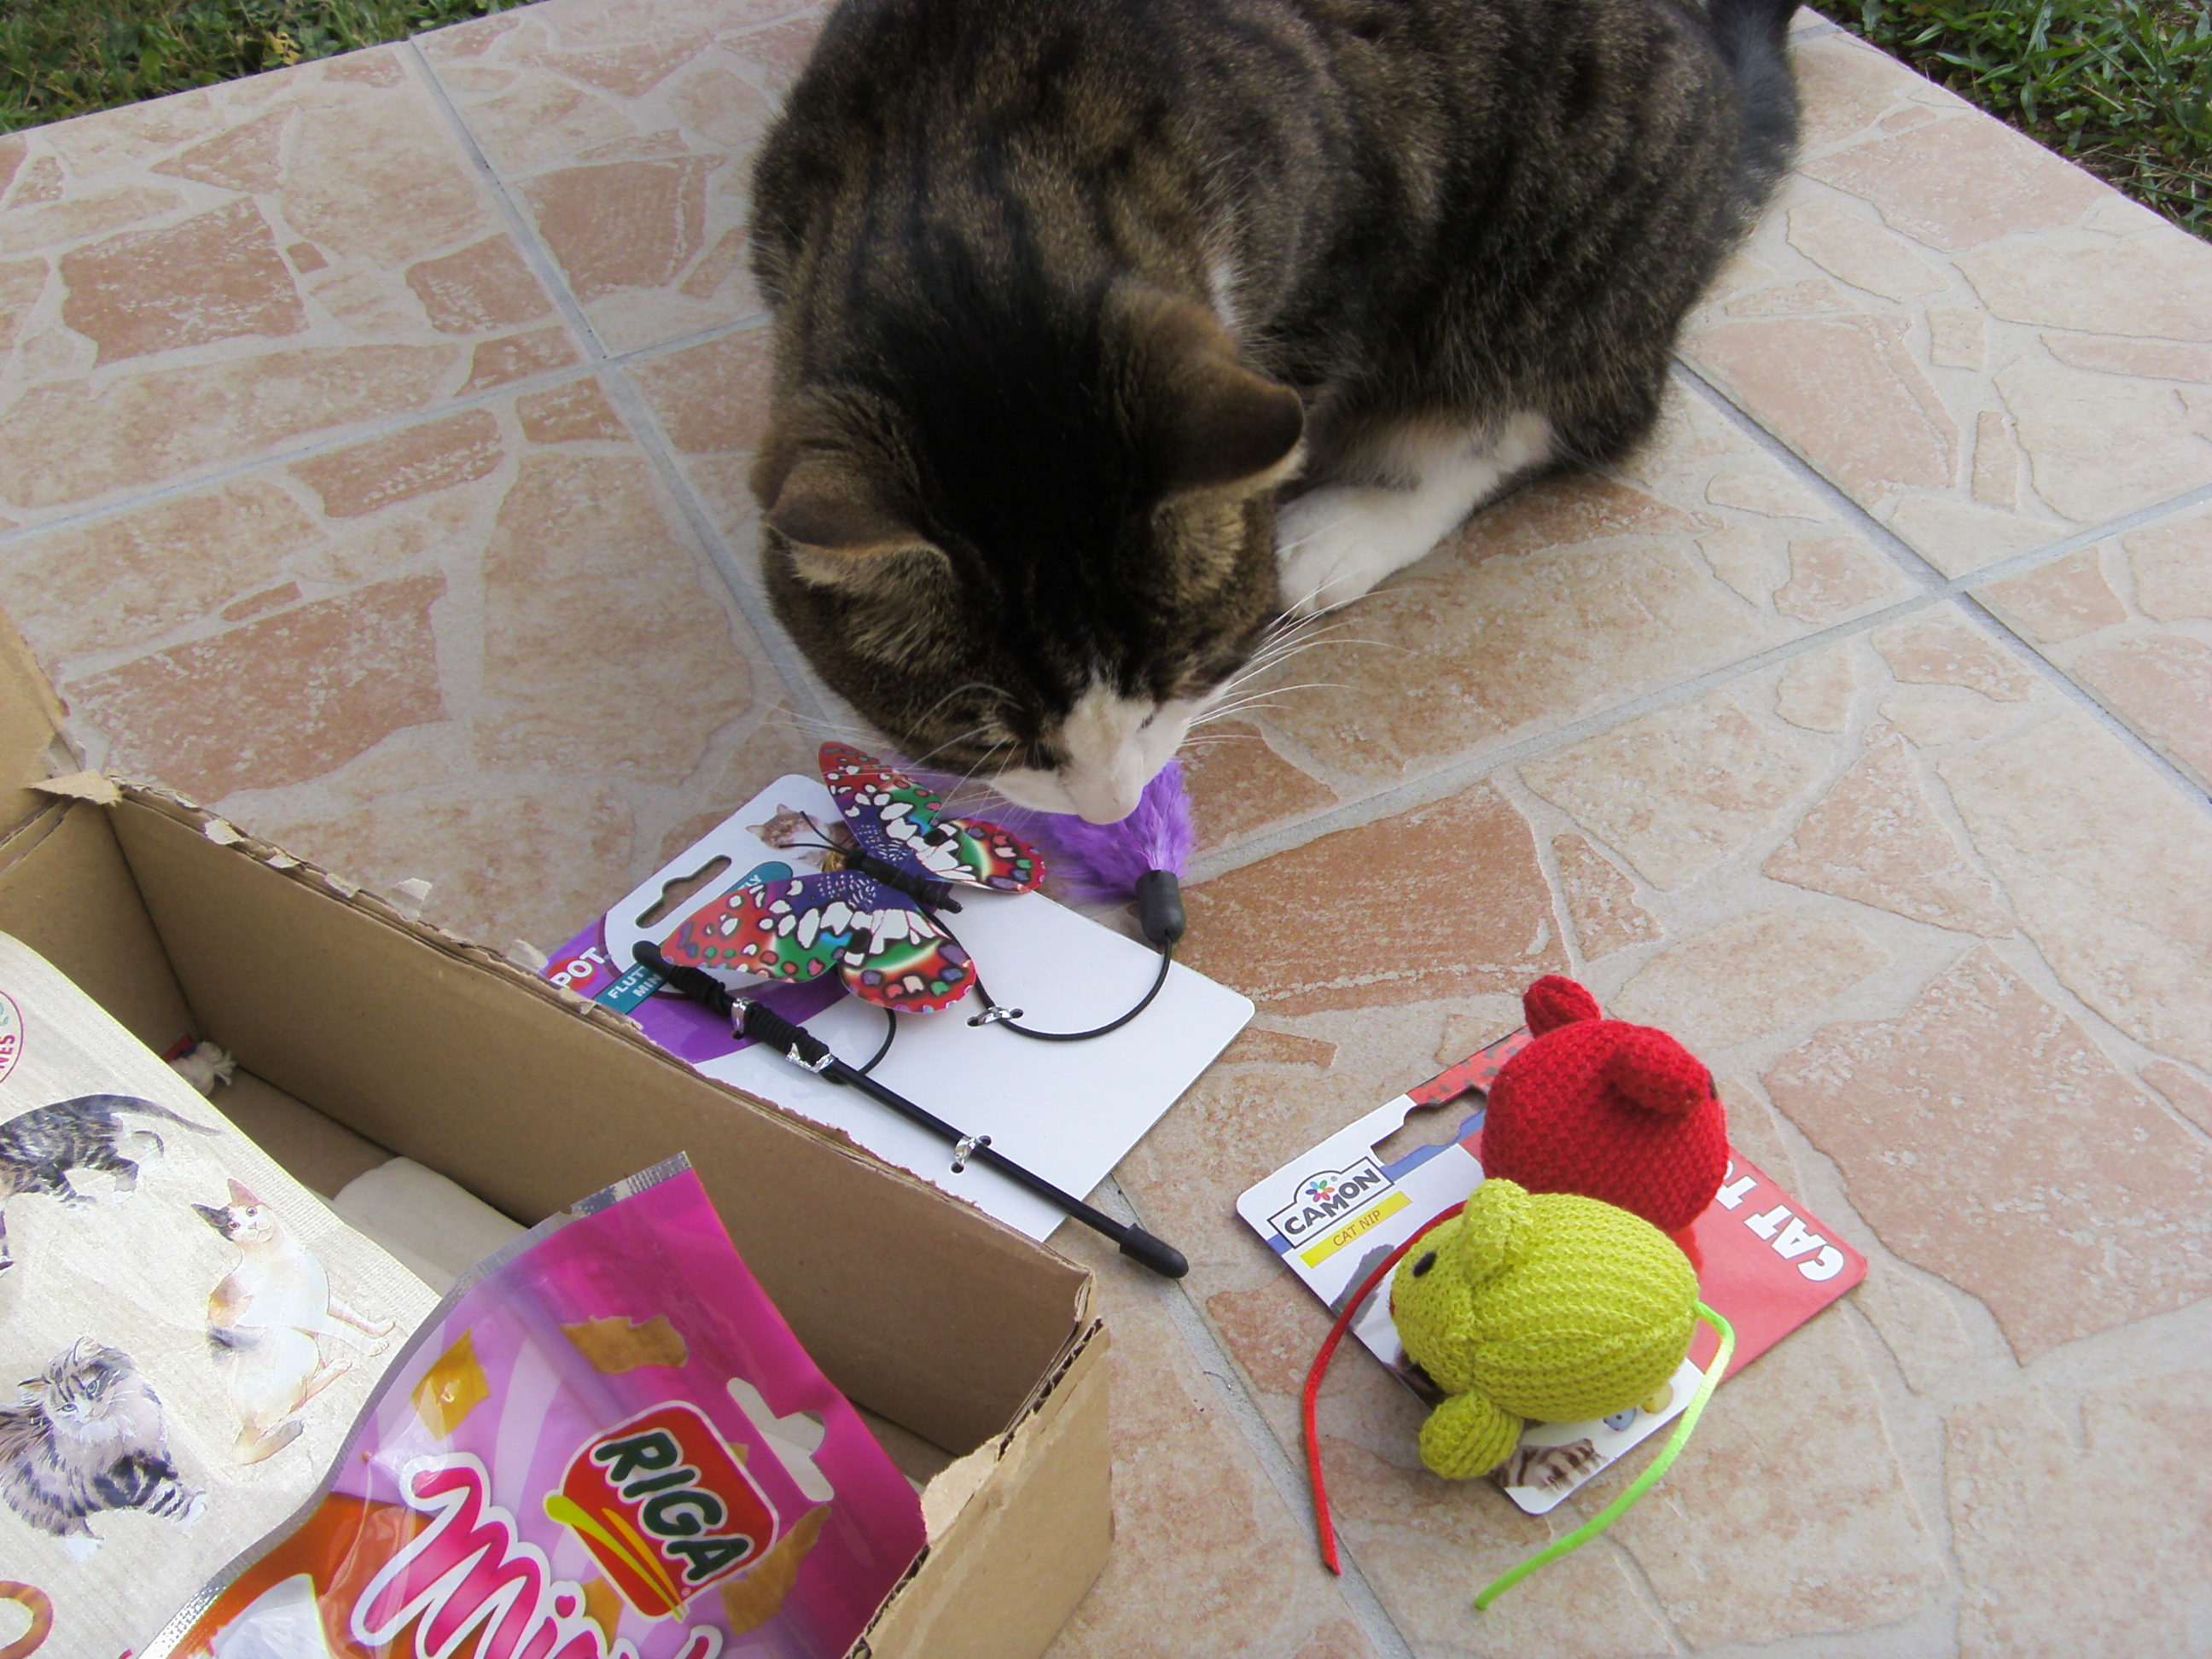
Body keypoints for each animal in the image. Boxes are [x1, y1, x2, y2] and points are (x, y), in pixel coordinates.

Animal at [0, 1094, 217, 1272]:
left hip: (82, 1151)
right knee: (143, 1136)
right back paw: (151, 1159)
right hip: (106, 1136)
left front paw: (83, 1203)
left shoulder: (44, 1169)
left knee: (129, 1163)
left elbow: (64, 1192)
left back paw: (124, 1191)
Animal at [0, 1339, 202, 1558]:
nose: (89, 1414)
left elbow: (172, 1479)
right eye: (69, 1407)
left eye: (92, 1387)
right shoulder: (124, 1478)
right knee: (60, 1525)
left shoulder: (156, 1451)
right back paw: (88, 1546)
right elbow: (164, 1498)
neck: (122, 1419)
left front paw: (191, 1492)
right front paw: (193, 1511)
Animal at [193, 1180, 395, 1466]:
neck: (282, 1255)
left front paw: (379, 1328)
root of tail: (246, 1425)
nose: (251, 1226)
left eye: (251, 1212)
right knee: (301, 1398)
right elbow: (343, 1329)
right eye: (233, 1225)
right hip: (299, 1343)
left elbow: (351, 1317)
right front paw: (372, 1346)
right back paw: (337, 1366)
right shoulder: (307, 1313)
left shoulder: (325, 1300)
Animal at [745, 0, 1799, 823]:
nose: (1115, 808)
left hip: (1563, 254)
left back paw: (1342, 527)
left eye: (1184, 674)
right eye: (985, 738)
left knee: (1537, 414)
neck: (969, 144)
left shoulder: (1345, 246)